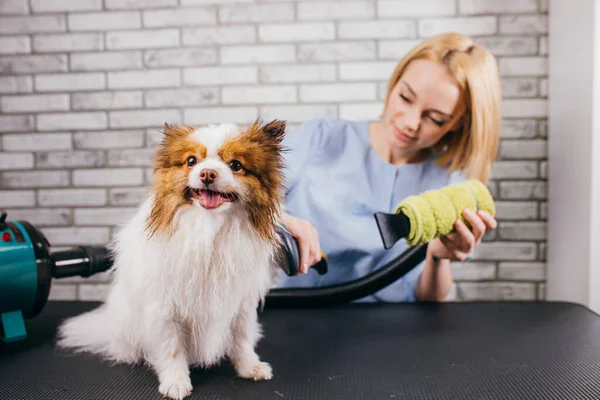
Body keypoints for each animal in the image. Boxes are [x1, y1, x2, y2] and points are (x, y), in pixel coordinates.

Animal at [56, 119, 288, 400]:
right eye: (191, 161)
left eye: (235, 165)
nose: (207, 174)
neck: (208, 227)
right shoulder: (164, 306)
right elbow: (171, 348)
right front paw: (175, 382)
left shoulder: (240, 302)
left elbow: (241, 338)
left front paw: (249, 367)